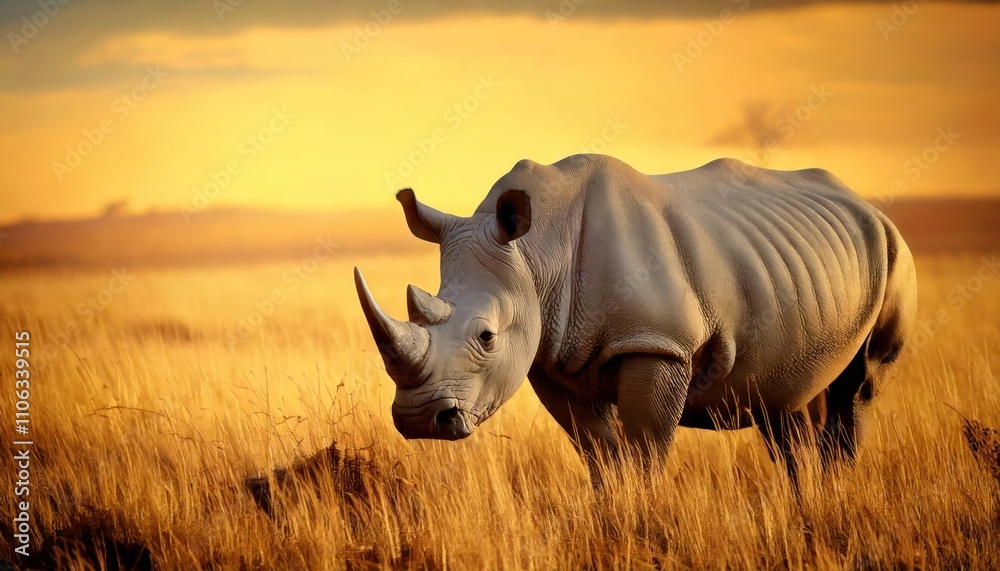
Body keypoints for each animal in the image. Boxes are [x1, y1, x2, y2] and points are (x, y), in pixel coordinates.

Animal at [354, 154, 917, 480]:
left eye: (487, 336)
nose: (419, 420)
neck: (538, 253)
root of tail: (866, 204)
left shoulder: (658, 342)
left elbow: (645, 450)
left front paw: (644, 518)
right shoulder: (552, 357)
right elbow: (599, 454)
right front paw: (615, 517)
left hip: (895, 253)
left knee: (859, 385)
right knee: (787, 400)